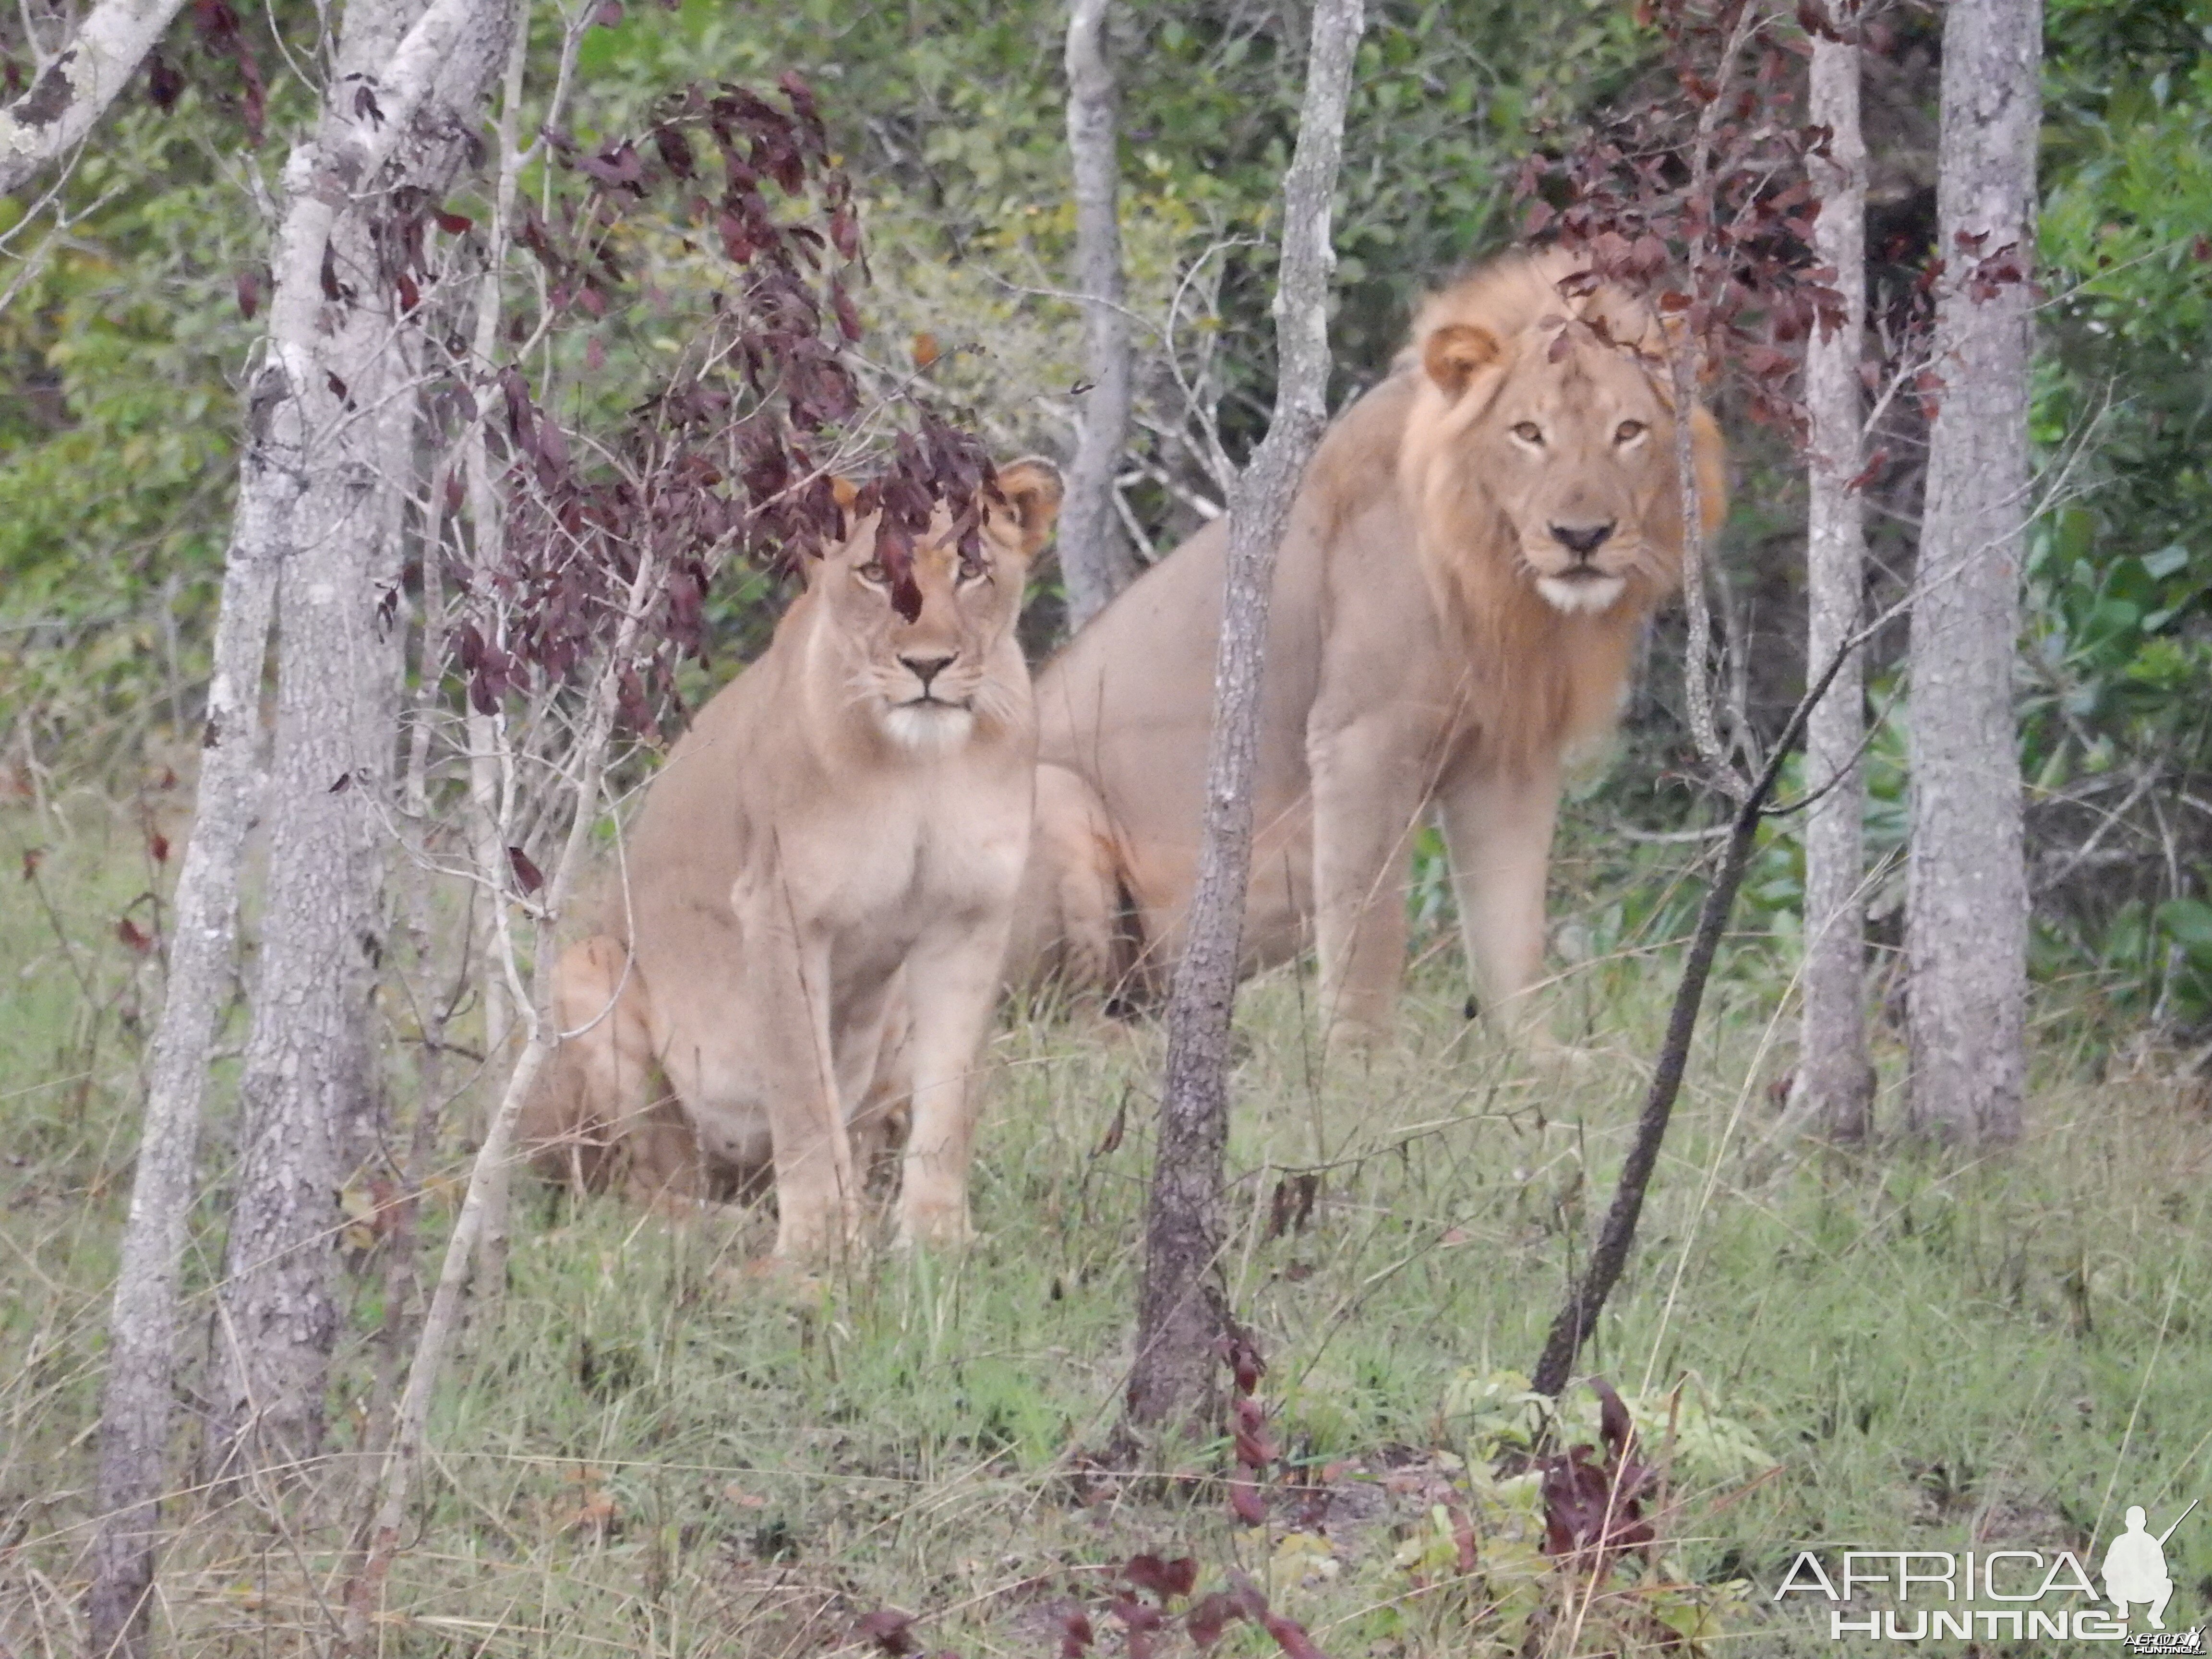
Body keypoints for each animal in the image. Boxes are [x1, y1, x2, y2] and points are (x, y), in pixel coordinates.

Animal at [522, 457, 1066, 1256]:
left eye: (972, 570)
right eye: (875, 572)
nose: (927, 665)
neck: (923, 765)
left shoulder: (971, 917)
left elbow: (950, 1095)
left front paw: (936, 1240)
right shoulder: (780, 912)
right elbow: (803, 1090)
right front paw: (820, 1244)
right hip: (586, 975)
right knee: (640, 1190)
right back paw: (730, 1228)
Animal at [1013, 252, 1725, 1044]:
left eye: (1628, 431)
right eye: (1528, 433)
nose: (1582, 537)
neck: (1504, 585)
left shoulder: (1509, 759)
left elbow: (1511, 933)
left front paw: (1536, 1056)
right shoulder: (1362, 739)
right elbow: (1368, 933)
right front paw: (1355, 1059)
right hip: (1050, 799)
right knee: (1044, 1023)